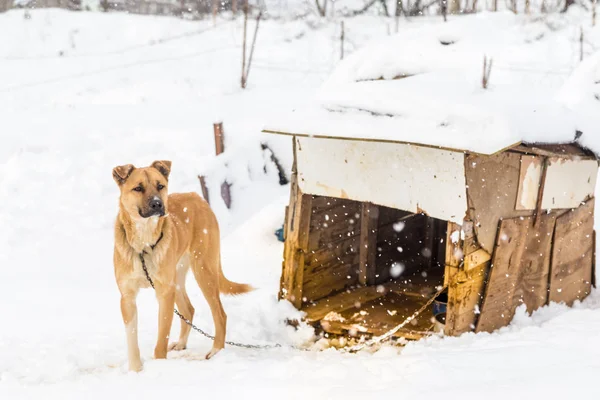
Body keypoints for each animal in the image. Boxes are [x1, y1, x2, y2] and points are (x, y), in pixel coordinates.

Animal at [112, 160, 251, 372]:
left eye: (160, 185)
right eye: (138, 188)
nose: (157, 204)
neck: (143, 244)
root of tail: (198, 198)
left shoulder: (164, 294)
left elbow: (161, 339)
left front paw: (159, 366)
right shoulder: (127, 297)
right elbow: (132, 340)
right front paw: (136, 370)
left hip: (203, 271)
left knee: (220, 314)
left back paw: (215, 352)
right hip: (176, 280)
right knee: (188, 310)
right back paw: (181, 344)